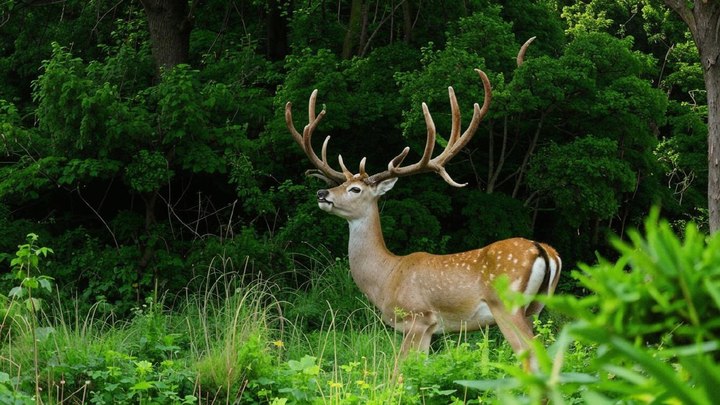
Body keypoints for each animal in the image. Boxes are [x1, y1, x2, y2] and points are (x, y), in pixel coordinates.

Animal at [284, 45, 560, 370]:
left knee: (531, 358)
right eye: (341, 183)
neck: (387, 277)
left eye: (355, 189)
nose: (322, 192)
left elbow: (399, 371)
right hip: (537, 307)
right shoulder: (430, 330)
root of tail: (545, 252)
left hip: (506, 305)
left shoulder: (416, 319)